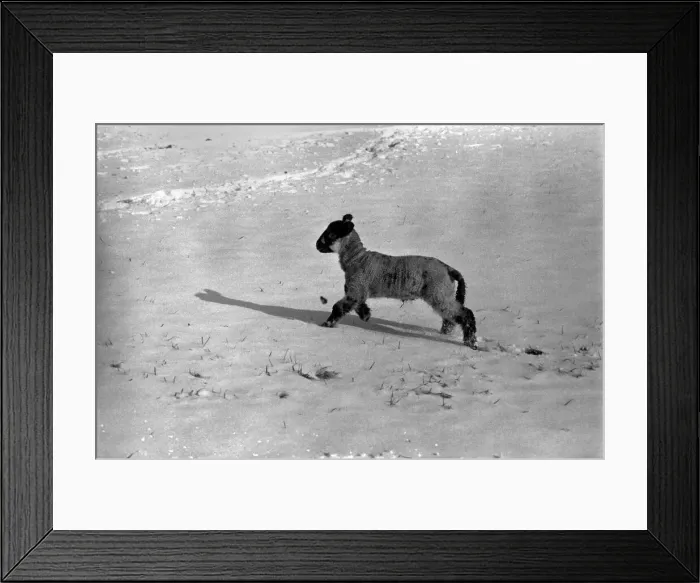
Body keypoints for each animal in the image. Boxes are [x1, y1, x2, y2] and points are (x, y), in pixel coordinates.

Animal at [316, 214, 477, 348]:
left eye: (330, 234)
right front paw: (366, 315)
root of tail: (448, 269)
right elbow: (358, 305)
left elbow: (338, 307)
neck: (357, 259)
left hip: (439, 293)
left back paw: (471, 342)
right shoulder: (358, 292)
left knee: (465, 314)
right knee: (450, 317)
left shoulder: (356, 289)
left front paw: (326, 324)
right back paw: (446, 332)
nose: (317, 245)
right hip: (443, 294)